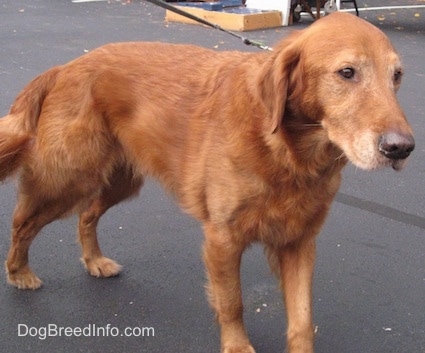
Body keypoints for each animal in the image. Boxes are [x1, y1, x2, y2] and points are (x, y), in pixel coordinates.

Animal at [0, 12, 412, 350]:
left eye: (397, 76)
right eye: (347, 72)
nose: (401, 149)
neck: (289, 153)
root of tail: (67, 65)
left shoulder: (298, 241)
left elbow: (302, 321)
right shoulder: (223, 237)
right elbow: (232, 302)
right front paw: (237, 346)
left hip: (119, 182)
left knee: (87, 215)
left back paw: (94, 260)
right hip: (66, 179)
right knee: (23, 223)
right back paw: (19, 273)